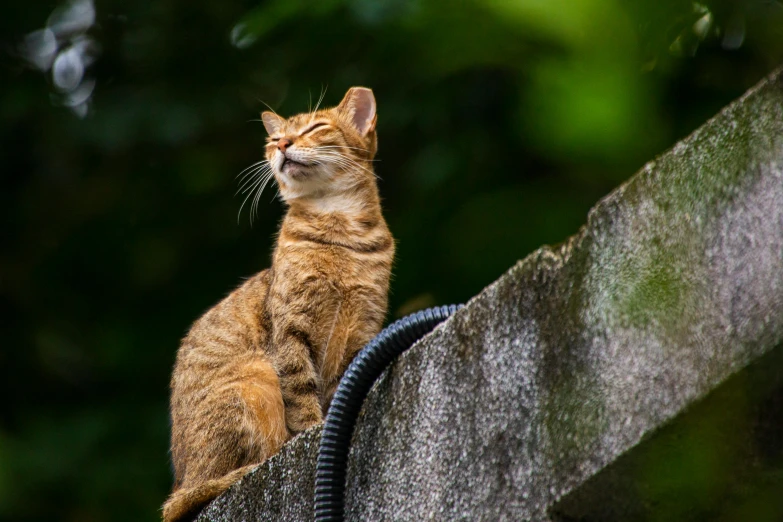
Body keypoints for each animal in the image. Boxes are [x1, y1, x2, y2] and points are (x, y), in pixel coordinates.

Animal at [166, 87, 398, 516]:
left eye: (315, 127)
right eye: (274, 139)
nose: (283, 144)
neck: (339, 227)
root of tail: (180, 480)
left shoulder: (361, 331)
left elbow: (338, 386)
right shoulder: (290, 328)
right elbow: (301, 392)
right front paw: (311, 430)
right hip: (254, 374)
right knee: (192, 495)